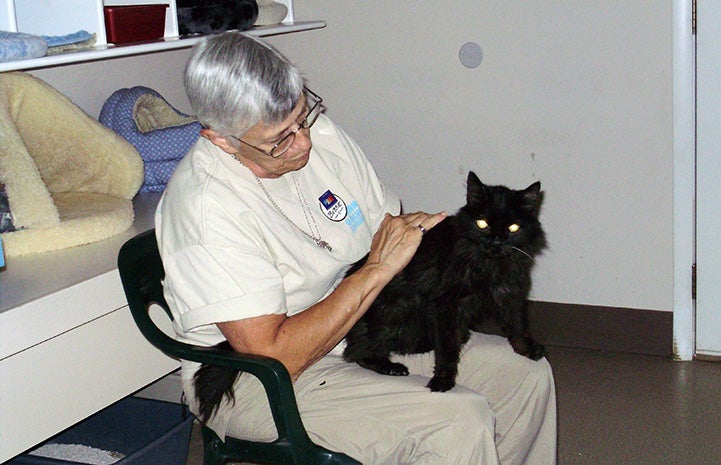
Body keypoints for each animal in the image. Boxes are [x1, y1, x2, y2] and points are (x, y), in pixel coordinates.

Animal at [344, 170, 544, 392]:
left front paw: (526, 349)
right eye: (482, 224)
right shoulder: (444, 304)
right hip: (398, 310)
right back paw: (391, 366)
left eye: (513, 227)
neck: (489, 265)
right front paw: (443, 379)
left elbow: (517, 325)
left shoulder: (509, 293)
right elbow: (447, 349)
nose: (496, 241)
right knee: (359, 352)